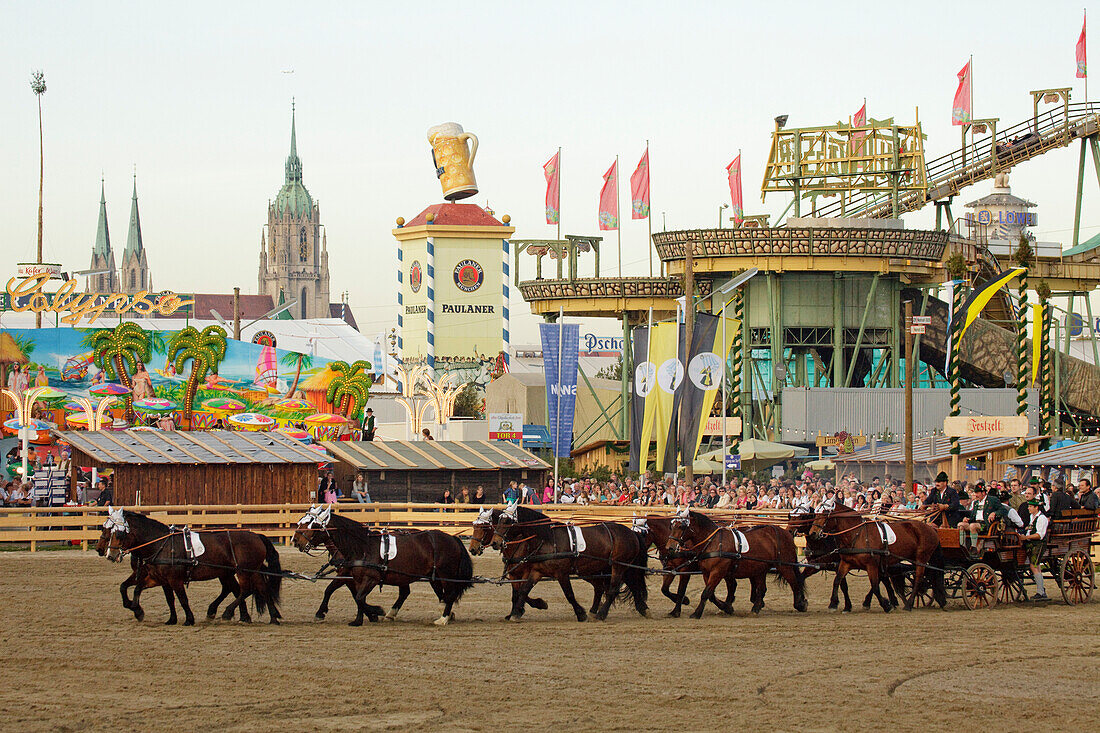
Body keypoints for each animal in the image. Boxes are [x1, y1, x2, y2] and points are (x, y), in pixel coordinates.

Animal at [96, 508, 281, 620]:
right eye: (105, 528)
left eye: (118, 533)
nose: (108, 553)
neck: (159, 543)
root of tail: (256, 535)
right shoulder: (155, 577)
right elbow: (129, 587)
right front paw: (136, 608)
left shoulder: (172, 579)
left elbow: (181, 598)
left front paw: (187, 619)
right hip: (245, 571)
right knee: (256, 589)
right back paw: (270, 617)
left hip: (243, 571)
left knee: (245, 590)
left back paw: (228, 612)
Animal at [294, 508, 475, 620]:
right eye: (301, 521)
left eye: (313, 524)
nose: (295, 540)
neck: (362, 546)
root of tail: (453, 538)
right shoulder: (350, 576)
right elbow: (337, 591)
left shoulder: (368, 578)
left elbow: (357, 597)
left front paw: (375, 612)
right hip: (428, 576)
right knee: (424, 593)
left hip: (445, 575)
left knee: (449, 594)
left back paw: (443, 618)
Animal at [488, 506, 642, 620]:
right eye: (498, 520)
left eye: (507, 521)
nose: (495, 542)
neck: (549, 540)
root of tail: (631, 532)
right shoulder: (537, 571)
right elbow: (524, 590)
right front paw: (517, 613)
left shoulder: (561, 573)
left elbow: (569, 594)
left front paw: (581, 614)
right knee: (601, 588)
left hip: (619, 566)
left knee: (613, 589)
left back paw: (602, 614)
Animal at [660, 508, 809, 616]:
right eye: (672, 525)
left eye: (681, 526)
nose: (670, 547)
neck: (713, 542)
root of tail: (783, 532)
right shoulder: (706, 572)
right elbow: (710, 593)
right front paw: (726, 607)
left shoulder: (717, 571)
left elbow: (706, 592)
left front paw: (697, 613)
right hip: (760, 568)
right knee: (761, 588)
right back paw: (756, 608)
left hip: (784, 566)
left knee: (794, 583)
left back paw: (800, 604)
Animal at [805, 501, 950, 611]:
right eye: (815, 513)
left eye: (825, 513)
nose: (813, 533)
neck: (857, 534)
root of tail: (931, 528)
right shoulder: (846, 563)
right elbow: (837, 581)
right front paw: (834, 604)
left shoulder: (871, 565)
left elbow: (875, 585)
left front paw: (886, 605)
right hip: (916, 559)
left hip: (921, 558)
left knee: (919, 579)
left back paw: (908, 604)